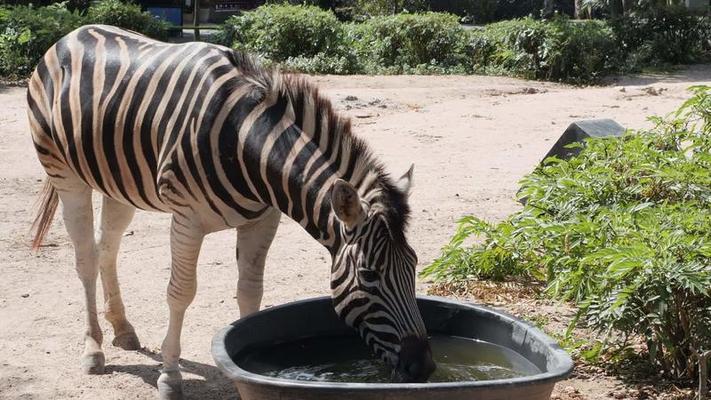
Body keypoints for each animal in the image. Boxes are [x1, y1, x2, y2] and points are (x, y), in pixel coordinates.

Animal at [27, 25, 436, 400]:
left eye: (414, 264)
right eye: (369, 275)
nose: (423, 367)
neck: (246, 143)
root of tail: (72, 34)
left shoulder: (264, 219)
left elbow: (250, 291)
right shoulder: (186, 218)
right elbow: (180, 293)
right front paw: (169, 376)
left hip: (119, 184)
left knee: (107, 249)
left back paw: (124, 330)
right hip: (64, 173)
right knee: (85, 258)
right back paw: (93, 350)